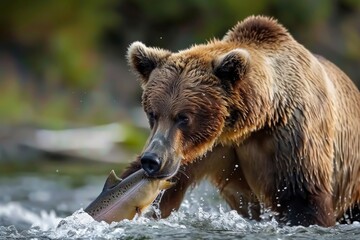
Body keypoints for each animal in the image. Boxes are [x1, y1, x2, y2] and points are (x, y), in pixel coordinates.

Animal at [120, 15, 360, 227]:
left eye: (184, 117)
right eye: (152, 113)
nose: (152, 160)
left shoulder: (294, 138)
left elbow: (304, 199)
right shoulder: (207, 151)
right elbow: (163, 194)